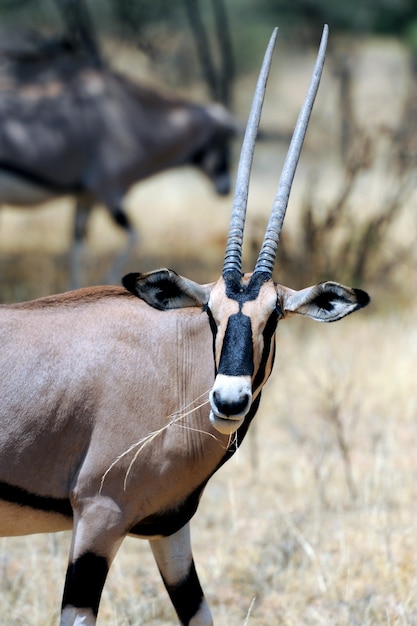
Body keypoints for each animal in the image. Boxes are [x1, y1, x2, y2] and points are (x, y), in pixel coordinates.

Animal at [0, 28, 370, 624]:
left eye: (274, 318)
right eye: (209, 312)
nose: (228, 401)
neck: (172, 367)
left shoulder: (169, 529)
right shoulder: (98, 518)